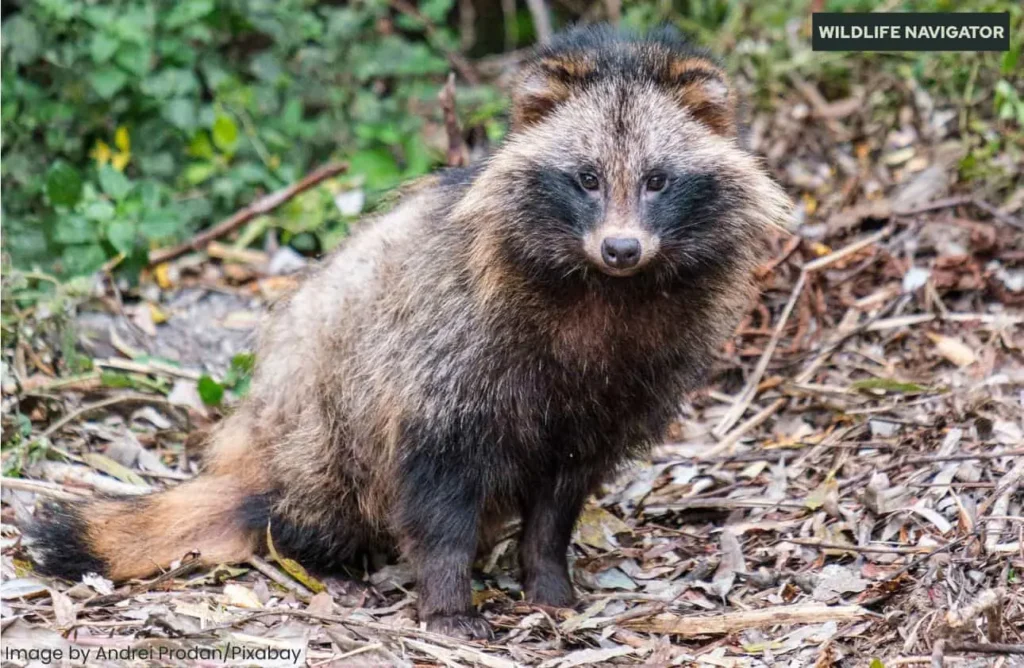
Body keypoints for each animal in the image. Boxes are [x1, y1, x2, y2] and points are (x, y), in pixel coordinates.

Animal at [27, 25, 790, 639]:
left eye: (658, 180)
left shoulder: (623, 382)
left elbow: (561, 496)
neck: (605, 289)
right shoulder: (446, 359)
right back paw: (317, 556)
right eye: (587, 179)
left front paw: (547, 578)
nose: (622, 248)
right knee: (320, 493)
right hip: (317, 424)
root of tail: (252, 461)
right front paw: (450, 601)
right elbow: (436, 489)